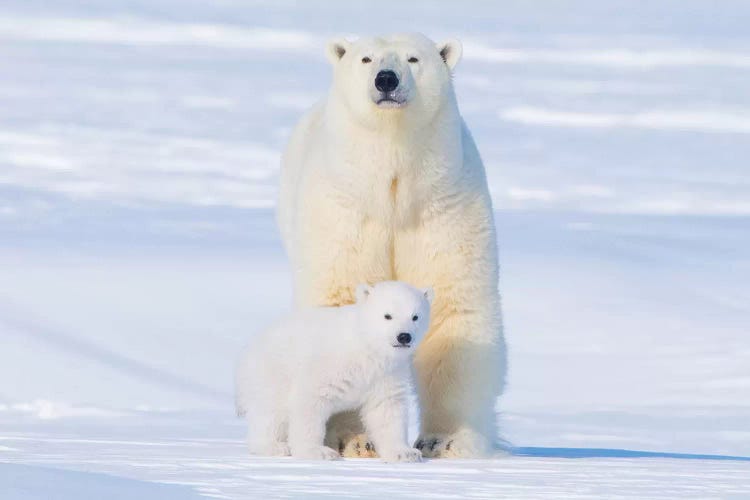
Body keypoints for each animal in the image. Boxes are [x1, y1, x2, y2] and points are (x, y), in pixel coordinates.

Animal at [235, 282, 434, 460]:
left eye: (415, 316)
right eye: (387, 316)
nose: (404, 336)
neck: (365, 346)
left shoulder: (387, 373)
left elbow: (387, 410)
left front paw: (405, 453)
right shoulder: (328, 364)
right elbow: (309, 402)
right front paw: (318, 451)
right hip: (272, 372)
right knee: (272, 411)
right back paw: (274, 446)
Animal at [276, 33, 506, 458]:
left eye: (413, 59)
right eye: (366, 58)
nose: (386, 79)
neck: (393, 180)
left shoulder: (443, 205)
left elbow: (453, 310)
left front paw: (445, 439)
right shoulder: (345, 209)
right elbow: (340, 299)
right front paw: (355, 439)